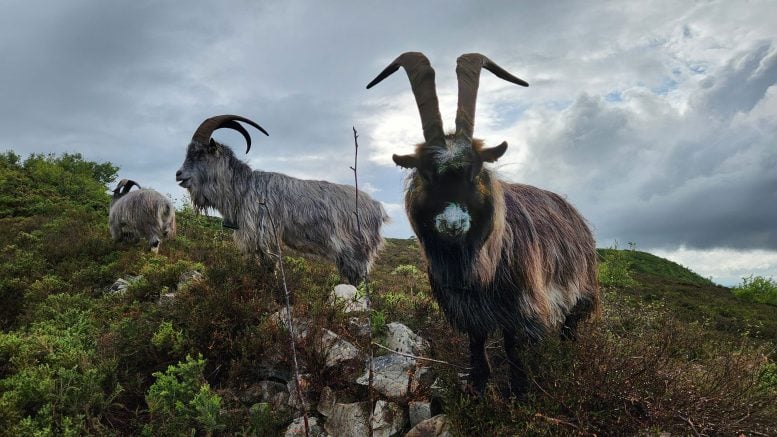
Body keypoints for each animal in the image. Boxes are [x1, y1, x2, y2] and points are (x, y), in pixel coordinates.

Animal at [175, 115, 388, 285]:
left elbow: (269, 264)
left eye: (200, 153)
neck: (243, 188)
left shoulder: (263, 232)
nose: (179, 174)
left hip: (355, 250)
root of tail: (377, 208)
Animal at [367, 53, 599, 396]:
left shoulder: (519, 304)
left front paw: (519, 392)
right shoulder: (466, 307)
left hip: (581, 291)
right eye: (425, 172)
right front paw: (478, 385)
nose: (453, 224)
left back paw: (566, 359)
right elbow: (476, 343)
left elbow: (513, 346)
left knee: (570, 327)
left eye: (475, 171)